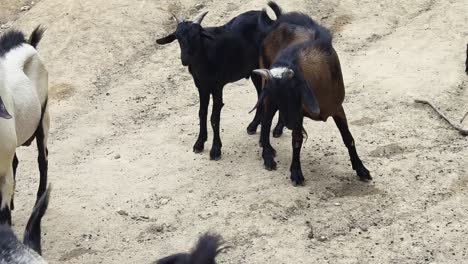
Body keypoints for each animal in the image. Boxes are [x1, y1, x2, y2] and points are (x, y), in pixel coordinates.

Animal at [156, 3, 282, 160]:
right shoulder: (201, 87)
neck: (204, 57)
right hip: (256, 72)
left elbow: (214, 117)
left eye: (196, 35)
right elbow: (202, 113)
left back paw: (276, 130)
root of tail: (274, 21)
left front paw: (215, 149)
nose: (185, 59)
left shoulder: (217, 86)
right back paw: (253, 126)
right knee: (261, 94)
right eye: (178, 37)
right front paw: (199, 143)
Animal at [254, 10, 372, 186]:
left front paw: (362, 170)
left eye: (293, 92)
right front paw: (296, 173)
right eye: (277, 95)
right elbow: (296, 140)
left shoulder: (337, 108)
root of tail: (279, 21)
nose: (289, 123)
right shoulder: (297, 113)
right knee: (266, 120)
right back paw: (268, 156)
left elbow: (348, 138)